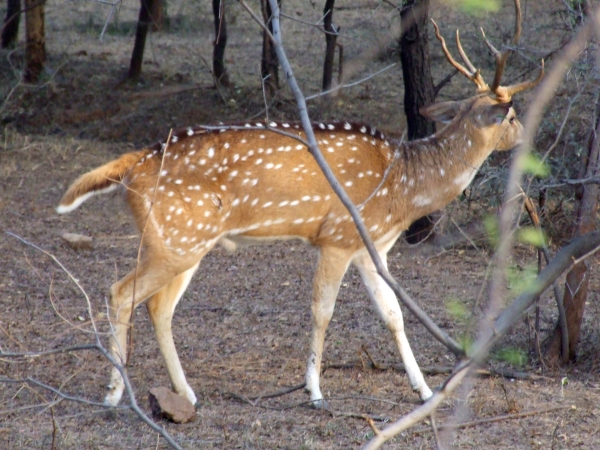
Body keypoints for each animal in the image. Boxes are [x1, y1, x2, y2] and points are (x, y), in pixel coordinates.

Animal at [57, 0, 544, 408]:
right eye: (511, 114)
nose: (527, 138)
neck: (404, 187)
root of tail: (133, 164)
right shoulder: (338, 237)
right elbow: (322, 311)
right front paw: (314, 392)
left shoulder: (371, 248)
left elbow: (393, 315)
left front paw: (423, 390)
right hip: (175, 238)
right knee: (120, 293)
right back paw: (114, 393)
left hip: (185, 243)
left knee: (159, 306)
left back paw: (186, 394)